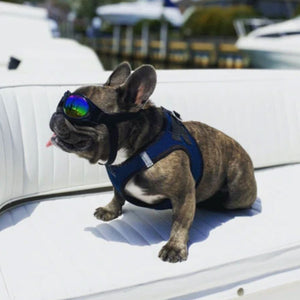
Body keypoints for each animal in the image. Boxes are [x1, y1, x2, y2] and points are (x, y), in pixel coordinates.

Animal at [48, 61, 256, 262]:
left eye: (75, 111)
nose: (55, 114)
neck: (136, 149)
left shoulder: (184, 193)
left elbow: (180, 222)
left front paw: (174, 247)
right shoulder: (119, 184)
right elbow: (117, 195)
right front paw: (110, 210)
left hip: (237, 193)